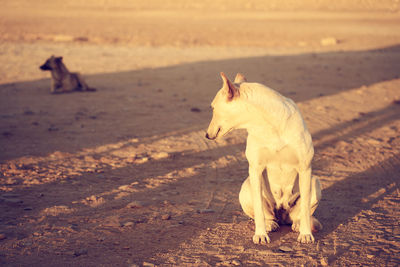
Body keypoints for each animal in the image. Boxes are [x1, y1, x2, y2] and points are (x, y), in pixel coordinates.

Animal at [206, 73, 322, 245]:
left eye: (213, 108)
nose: (206, 135)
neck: (269, 125)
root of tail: (282, 215)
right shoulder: (255, 169)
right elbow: (259, 210)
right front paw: (260, 234)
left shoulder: (305, 168)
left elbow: (306, 210)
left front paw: (306, 234)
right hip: (246, 187)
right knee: (264, 215)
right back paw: (269, 224)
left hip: (315, 182)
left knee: (300, 215)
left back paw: (298, 225)